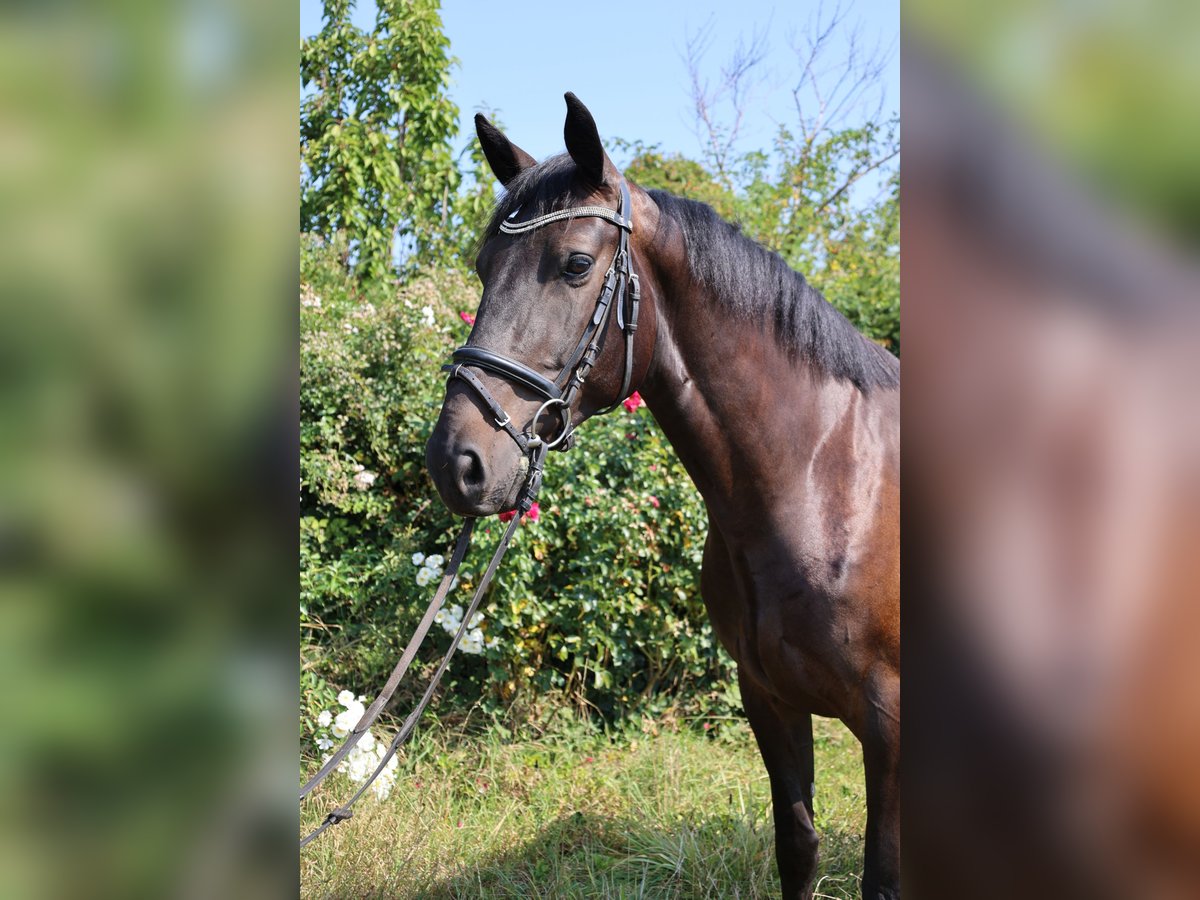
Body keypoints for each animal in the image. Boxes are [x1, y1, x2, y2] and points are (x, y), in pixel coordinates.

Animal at [424, 95, 902, 897]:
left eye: (576, 264)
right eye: (483, 266)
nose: (456, 462)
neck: (824, 485)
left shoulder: (892, 724)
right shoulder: (768, 699)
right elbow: (798, 848)